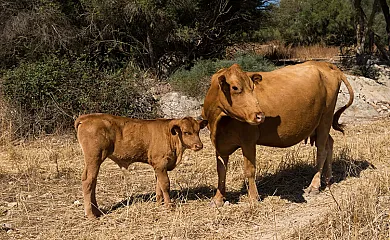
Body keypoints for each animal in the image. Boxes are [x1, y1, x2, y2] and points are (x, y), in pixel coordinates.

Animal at [74, 113, 207, 218]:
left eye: (198, 131)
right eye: (186, 132)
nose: (199, 145)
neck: (171, 136)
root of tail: (87, 117)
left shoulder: (158, 167)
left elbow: (158, 184)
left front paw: (159, 203)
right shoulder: (160, 163)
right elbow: (165, 184)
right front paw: (169, 205)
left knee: (93, 181)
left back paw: (97, 211)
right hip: (94, 158)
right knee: (88, 181)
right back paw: (90, 214)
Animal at [203, 60, 354, 206]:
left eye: (252, 88)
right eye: (235, 88)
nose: (260, 116)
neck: (219, 121)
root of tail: (325, 64)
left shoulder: (248, 140)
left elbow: (250, 170)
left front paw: (253, 198)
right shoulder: (219, 143)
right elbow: (221, 170)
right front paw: (218, 199)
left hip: (325, 118)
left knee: (322, 150)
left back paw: (314, 186)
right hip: (318, 124)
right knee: (330, 143)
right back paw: (328, 178)